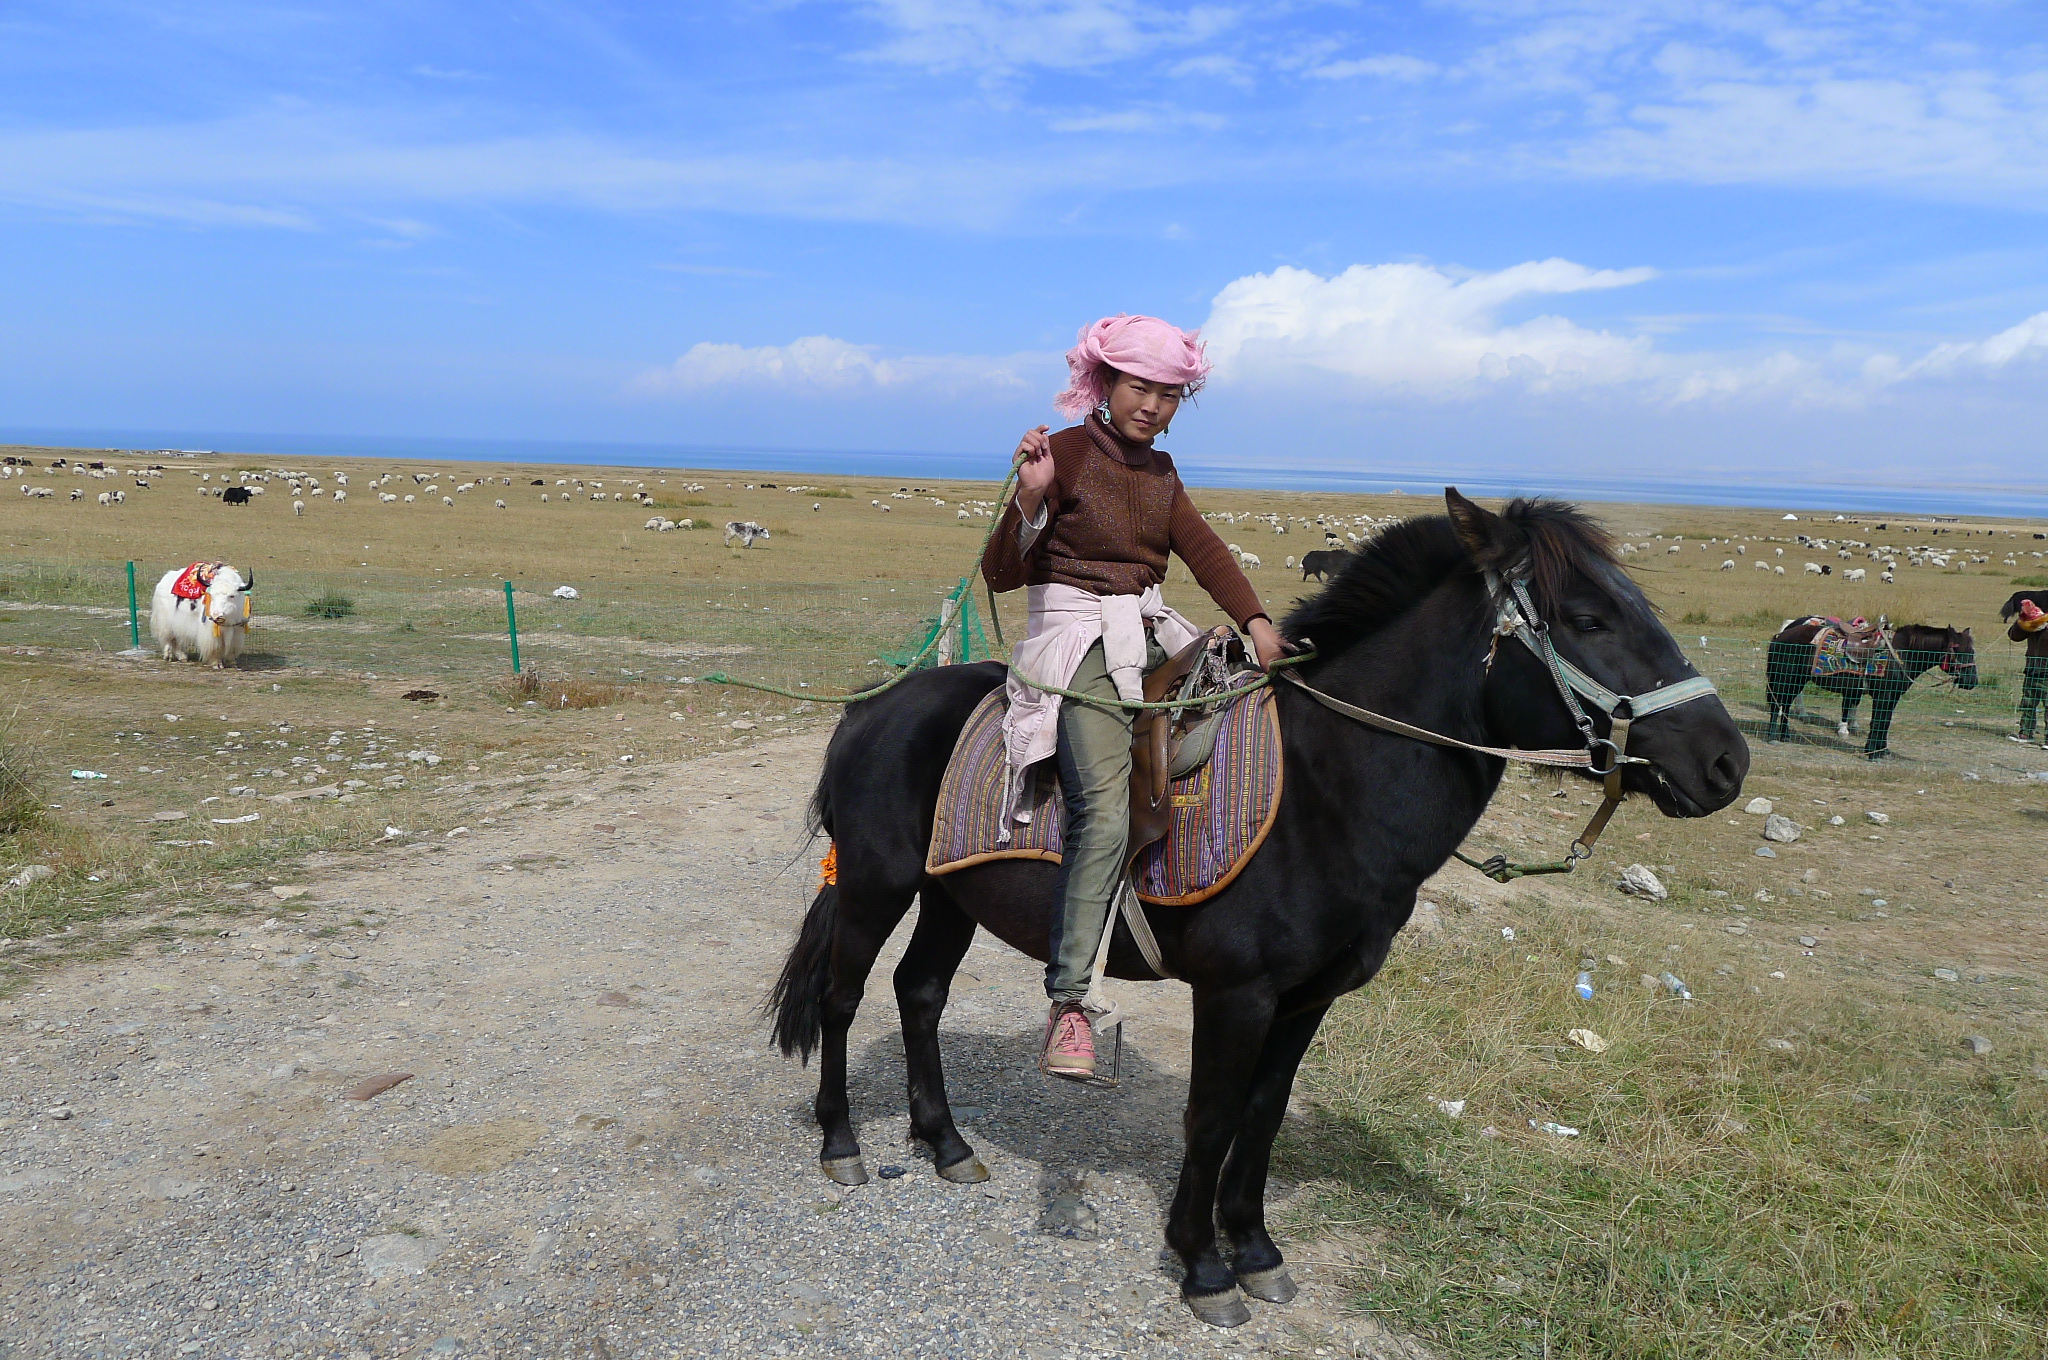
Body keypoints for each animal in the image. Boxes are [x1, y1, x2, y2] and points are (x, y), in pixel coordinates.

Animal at [768, 490, 1747, 1328]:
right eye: (1586, 619)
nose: (1726, 762)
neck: (1326, 787)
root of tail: (872, 708)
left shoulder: (1306, 999)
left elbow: (1263, 1114)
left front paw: (1257, 1250)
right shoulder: (1237, 994)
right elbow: (1211, 1116)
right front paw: (1203, 1265)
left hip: (950, 894)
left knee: (921, 993)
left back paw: (945, 1144)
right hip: (878, 885)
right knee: (845, 998)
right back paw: (842, 1145)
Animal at [1763, 618, 1977, 757]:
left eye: (1972, 651)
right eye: (1958, 650)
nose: (1972, 682)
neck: (1902, 654)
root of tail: (1781, 634)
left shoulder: (1892, 697)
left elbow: (1885, 722)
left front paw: (1881, 750)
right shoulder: (1884, 695)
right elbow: (1879, 721)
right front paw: (1874, 752)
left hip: (1796, 679)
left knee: (1785, 705)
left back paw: (1785, 736)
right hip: (1785, 678)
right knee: (1777, 705)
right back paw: (1773, 736)